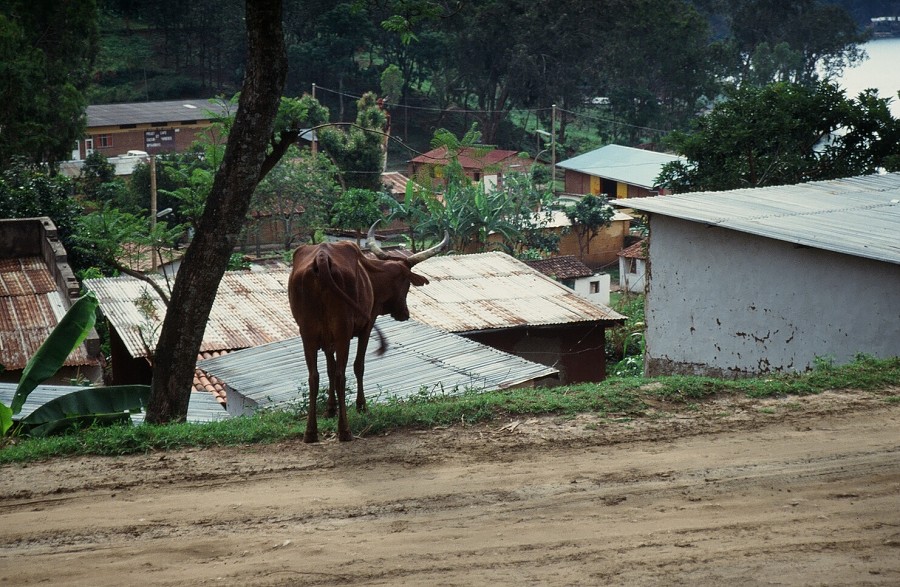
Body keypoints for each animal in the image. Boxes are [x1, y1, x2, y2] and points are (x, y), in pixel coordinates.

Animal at [288, 225, 446, 440]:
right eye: (407, 284)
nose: (404, 314)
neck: (371, 274)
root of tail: (322, 257)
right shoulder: (367, 324)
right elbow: (358, 366)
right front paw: (361, 406)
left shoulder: (327, 339)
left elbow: (329, 369)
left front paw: (330, 409)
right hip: (342, 332)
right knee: (341, 375)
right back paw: (344, 431)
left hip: (308, 334)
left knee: (314, 376)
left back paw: (310, 433)